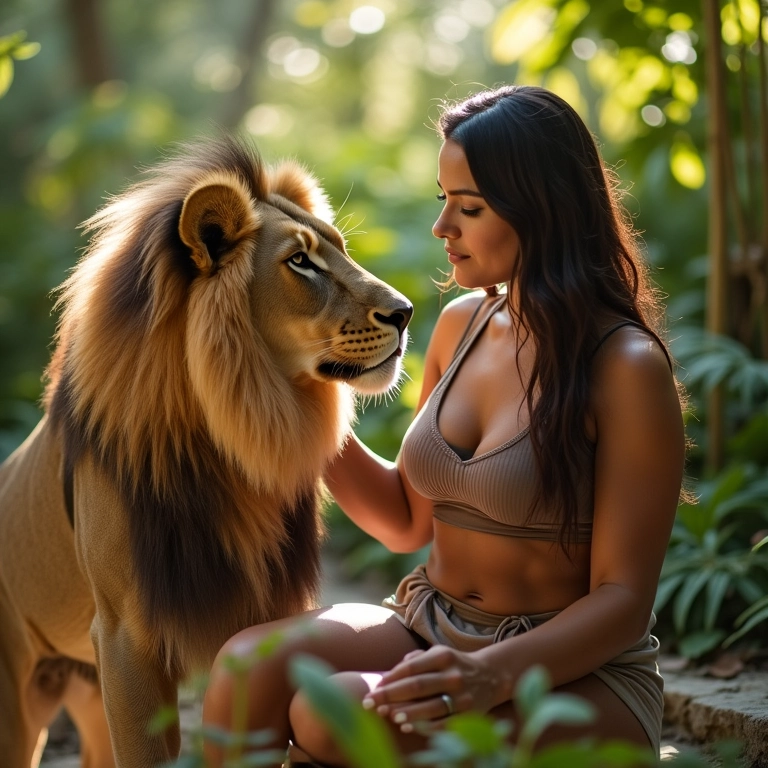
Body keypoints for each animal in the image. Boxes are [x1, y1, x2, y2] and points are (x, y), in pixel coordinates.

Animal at [0, 136, 412, 768]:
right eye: (300, 261)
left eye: (340, 249)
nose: (406, 312)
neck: (222, 446)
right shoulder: (123, 634)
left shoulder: (266, 615)